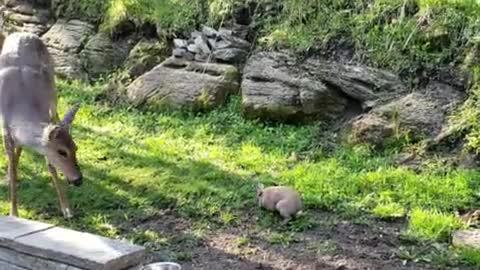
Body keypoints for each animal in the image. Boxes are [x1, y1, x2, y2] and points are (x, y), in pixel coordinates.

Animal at [0, 31, 82, 218]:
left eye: (76, 148)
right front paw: (14, 213)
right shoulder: (5, 129)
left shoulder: (48, 110)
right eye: (62, 152)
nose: (78, 180)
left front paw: (66, 209)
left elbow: (50, 165)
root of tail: (22, 32)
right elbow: (13, 166)